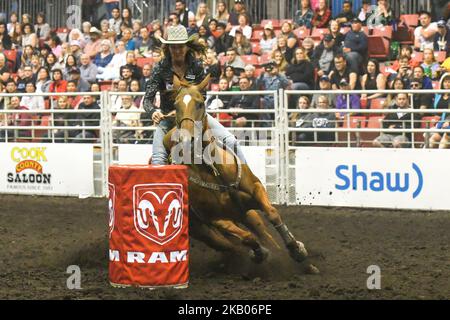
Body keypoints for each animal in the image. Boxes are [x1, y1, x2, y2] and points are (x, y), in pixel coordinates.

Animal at [163, 75, 318, 272]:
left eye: (200, 103)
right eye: (175, 105)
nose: (185, 139)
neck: (213, 169)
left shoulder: (255, 190)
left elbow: (272, 213)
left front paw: (297, 249)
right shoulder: (215, 218)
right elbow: (247, 238)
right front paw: (259, 254)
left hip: (247, 215)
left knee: (262, 234)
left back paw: (306, 265)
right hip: (201, 228)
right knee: (227, 245)